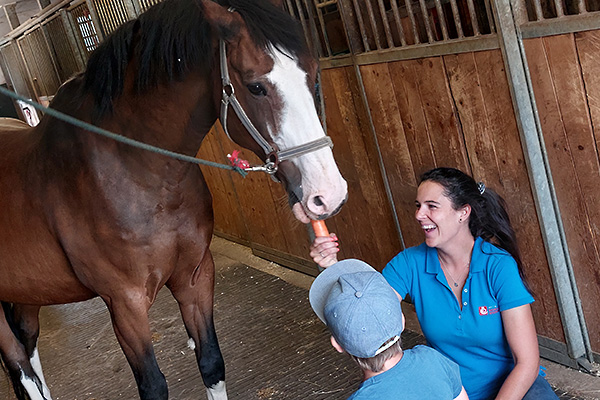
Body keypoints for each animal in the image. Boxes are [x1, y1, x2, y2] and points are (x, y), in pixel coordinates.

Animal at [0, 0, 346, 400]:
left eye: (313, 75)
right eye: (256, 86)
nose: (329, 193)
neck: (136, 171)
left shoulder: (194, 277)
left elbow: (211, 362)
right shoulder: (125, 304)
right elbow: (153, 385)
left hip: (27, 292)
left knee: (28, 348)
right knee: (20, 366)